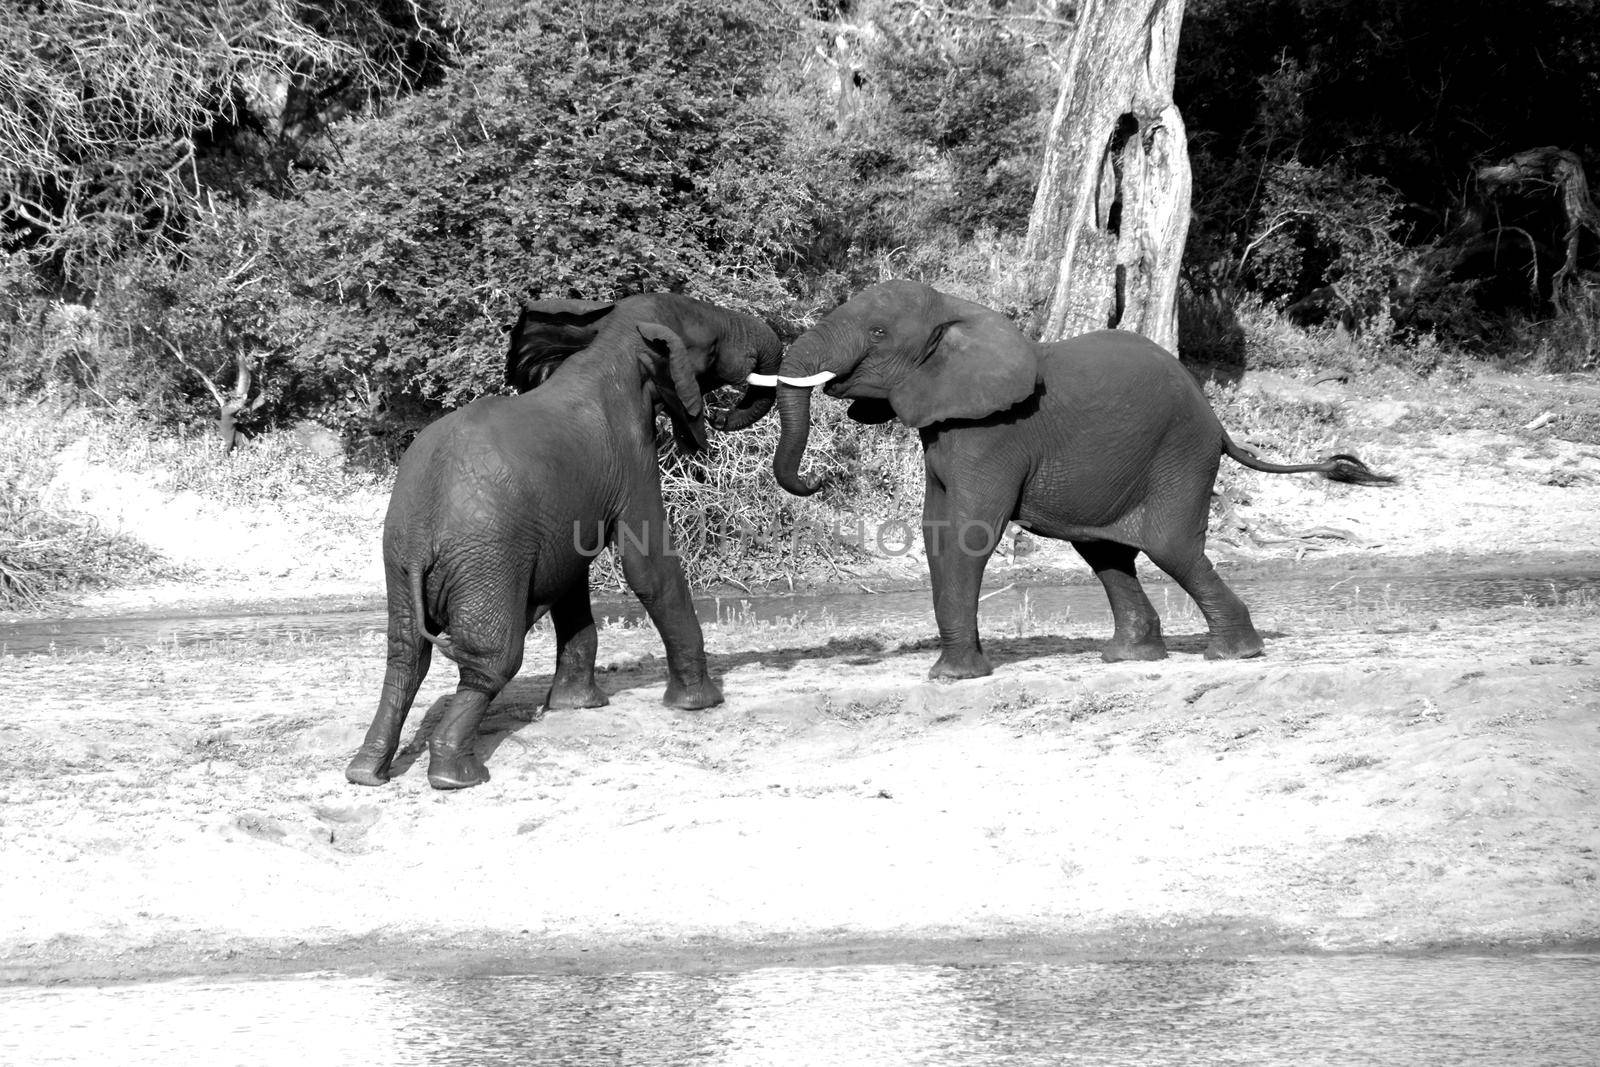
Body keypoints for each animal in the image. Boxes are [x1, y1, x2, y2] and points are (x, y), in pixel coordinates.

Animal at [345, 287, 780, 790]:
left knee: (404, 658)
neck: (610, 339)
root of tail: (423, 534)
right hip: (487, 556)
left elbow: (572, 578)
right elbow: (647, 566)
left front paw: (577, 706)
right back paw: (458, 776)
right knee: (490, 660)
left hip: (399, 555)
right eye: (711, 345)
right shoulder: (631, 453)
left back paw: (366, 772)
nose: (725, 417)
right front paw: (700, 705)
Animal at [768, 275, 1395, 675]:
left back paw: (1232, 655)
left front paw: (952, 677)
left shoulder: (993, 432)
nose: (818, 483)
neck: (957, 312)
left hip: (1181, 454)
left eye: (877, 333)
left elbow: (970, 532)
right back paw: (1130, 659)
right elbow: (937, 528)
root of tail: (1218, 422)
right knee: (1108, 554)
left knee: (1170, 547)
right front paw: (957, 670)